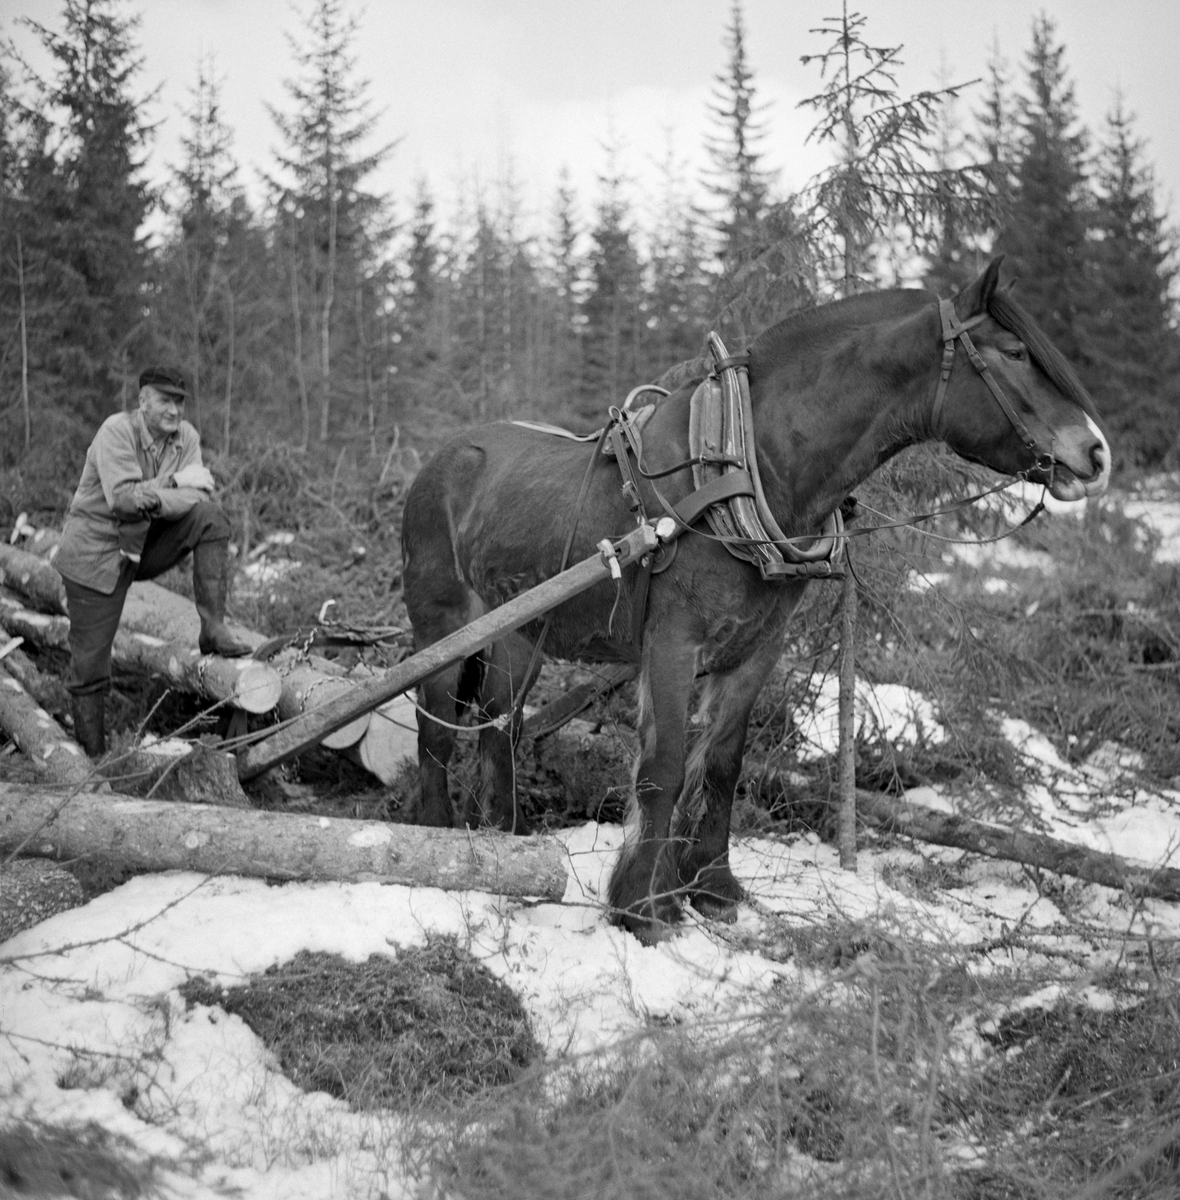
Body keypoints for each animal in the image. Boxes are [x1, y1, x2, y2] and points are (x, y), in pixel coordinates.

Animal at [400, 260, 1113, 936]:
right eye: (1013, 352)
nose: (1097, 454)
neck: (751, 465)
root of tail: (439, 459)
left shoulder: (758, 646)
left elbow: (721, 762)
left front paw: (711, 889)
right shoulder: (672, 640)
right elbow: (662, 766)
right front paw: (643, 908)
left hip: (521, 633)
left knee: (500, 730)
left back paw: (506, 839)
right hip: (442, 628)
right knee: (434, 733)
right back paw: (433, 839)